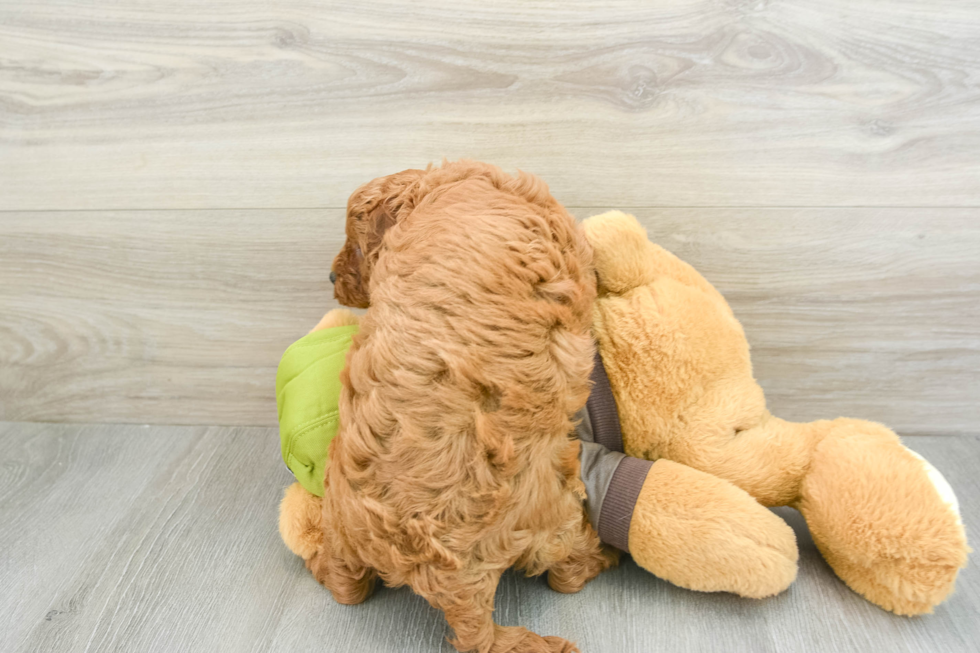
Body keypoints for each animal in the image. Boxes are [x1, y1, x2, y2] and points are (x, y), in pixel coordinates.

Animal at [312, 159, 612, 652]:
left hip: (343, 523)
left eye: (354, 244)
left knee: (345, 583)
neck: (448, 183)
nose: (333, 279)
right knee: (568, 573)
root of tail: (460, 584)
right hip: (561, 516)